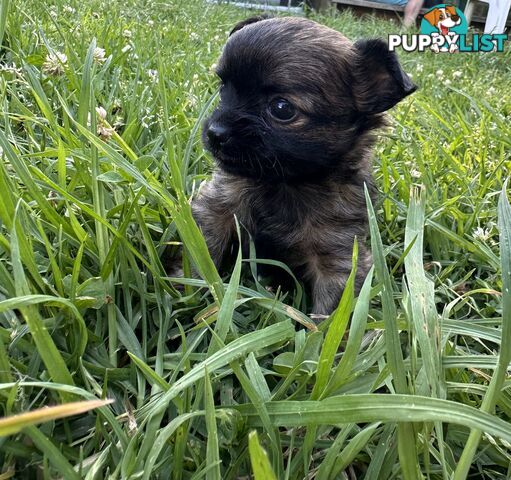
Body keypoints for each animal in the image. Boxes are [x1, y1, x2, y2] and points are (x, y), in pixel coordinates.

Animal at [192, 15, 416, 316]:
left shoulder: (337, 258)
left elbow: (329, 314)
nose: (216, 132)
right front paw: (185, 292)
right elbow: (201, 256)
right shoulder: (215, 211)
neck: (284, 184)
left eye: (282, 108)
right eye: (223, 89)